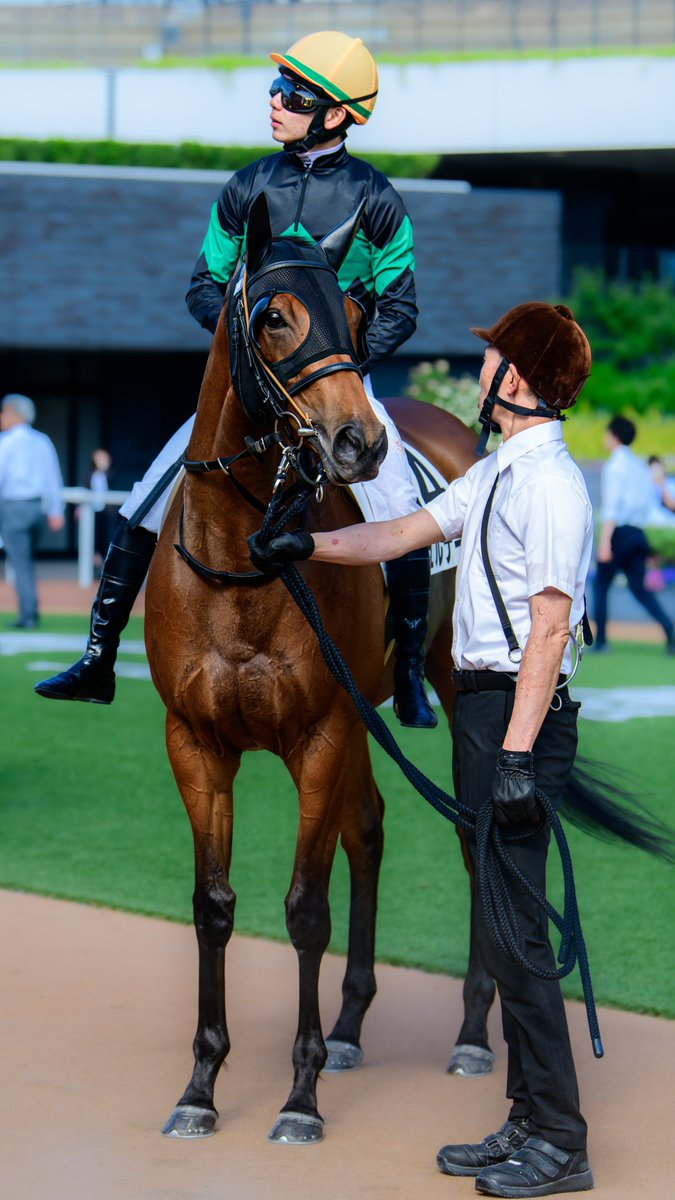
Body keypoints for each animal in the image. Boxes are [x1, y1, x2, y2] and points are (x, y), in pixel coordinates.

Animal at [144, 192, 491, 1144]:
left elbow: (305, 908)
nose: (358, 443)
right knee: (369, 831)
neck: (245, 564)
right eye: (272, 317)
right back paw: (348, 1028)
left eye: (359, 317)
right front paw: (200, 1087)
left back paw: (472, 1032)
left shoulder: (319, 733)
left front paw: (297, 1100)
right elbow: (213, 905)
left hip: (451, 689)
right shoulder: (195, 743)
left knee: (471, 836)